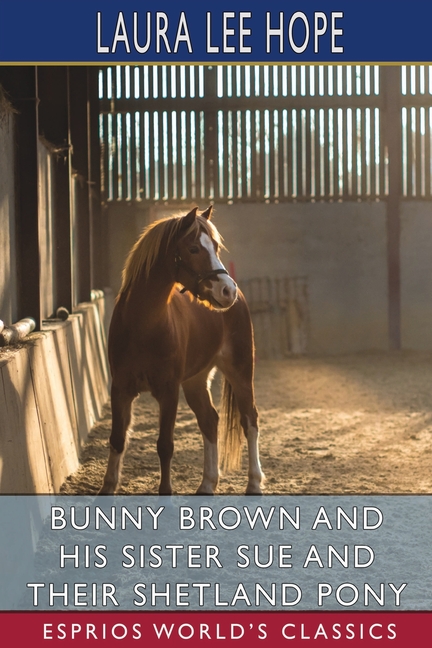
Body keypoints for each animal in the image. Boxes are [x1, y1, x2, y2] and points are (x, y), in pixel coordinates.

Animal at [100, 205, 264, 495]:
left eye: (216, 247)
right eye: (194, 249)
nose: (227, 290)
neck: (143, 325)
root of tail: (241, 299)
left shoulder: (168, 391)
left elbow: (165, 445)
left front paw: (166, 492)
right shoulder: (120, 389)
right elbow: (118, 439)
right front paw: (107, 488)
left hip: (241, 371)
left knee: (250, 420)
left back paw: (254, 483)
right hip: (196, 381)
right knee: (210, 421)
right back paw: (207, 483)